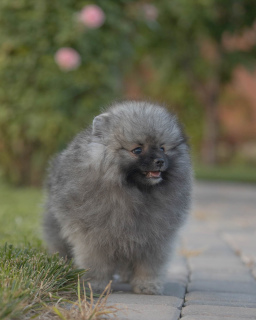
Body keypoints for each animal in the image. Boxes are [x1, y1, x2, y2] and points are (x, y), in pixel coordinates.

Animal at [43, 101, 192, 294]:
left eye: (162, 148)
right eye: (137, 150)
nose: (160, 161)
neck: (135, 192)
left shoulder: (154, 238)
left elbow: (149, 265)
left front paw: (147, 285)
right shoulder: (94, 236)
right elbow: (96, 263)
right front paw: (95, 284)